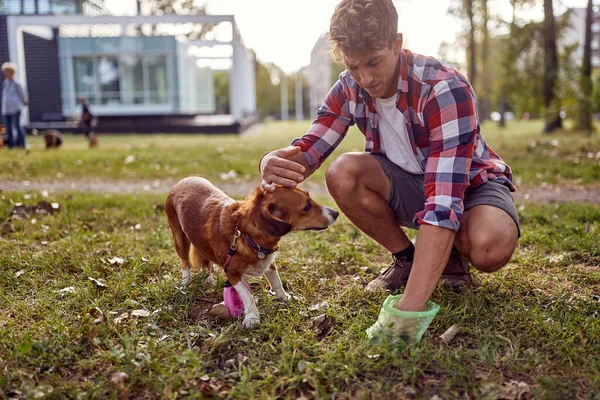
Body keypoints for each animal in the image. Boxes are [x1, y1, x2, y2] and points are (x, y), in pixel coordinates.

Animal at [165, 177, 338, 328]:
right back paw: (185, 284)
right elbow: (248, 297)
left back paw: (209, 279)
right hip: (180, 239)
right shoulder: (232, 273)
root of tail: (183, 181)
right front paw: (252, 317)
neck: (246, 232)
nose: (336, 213)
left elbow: (277, 282)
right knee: (185, 263)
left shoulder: (268, 261)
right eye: (306, 207)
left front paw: (285, 298)